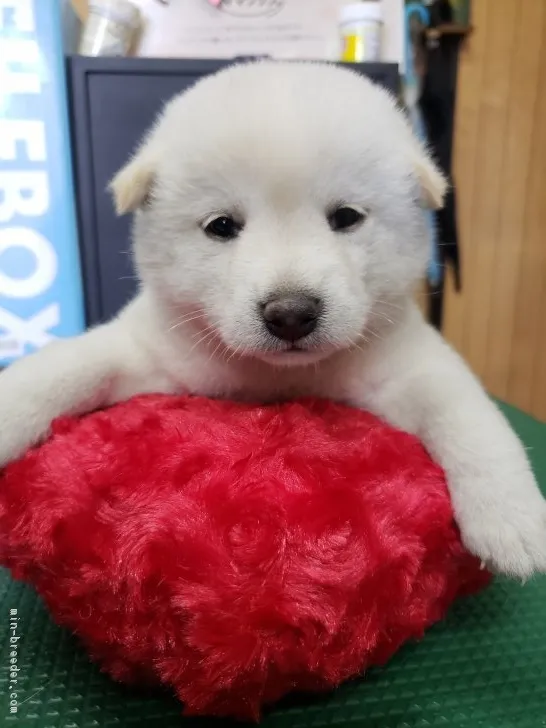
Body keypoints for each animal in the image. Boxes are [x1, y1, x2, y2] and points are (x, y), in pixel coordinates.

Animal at [1, 61, 544, 576]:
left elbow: (466, 412)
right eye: (221, 226)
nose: (291, 313)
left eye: (346, 217)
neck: (276, 375)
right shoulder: (151, 351)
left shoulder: (403, 363)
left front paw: (511, 516)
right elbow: (67, 368)